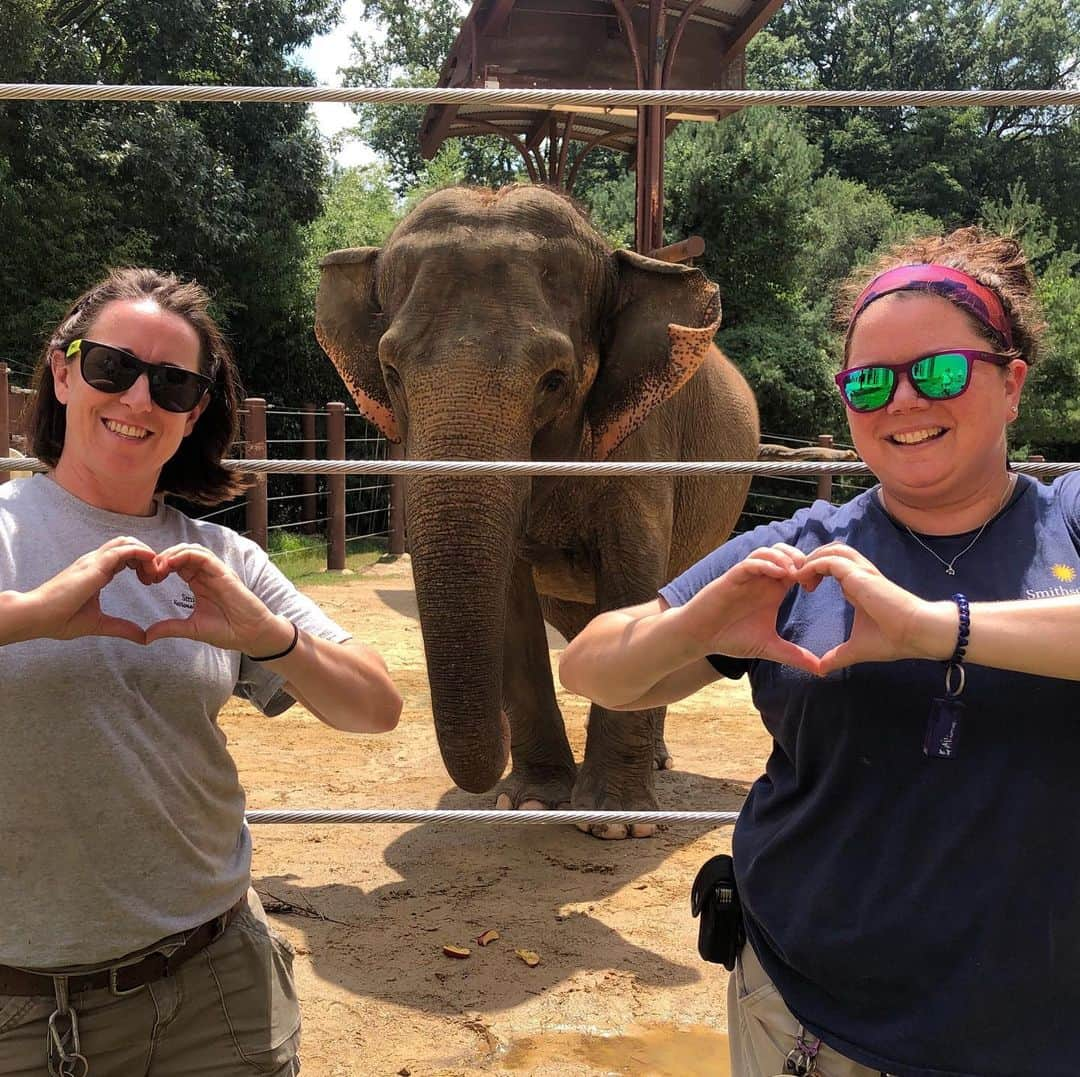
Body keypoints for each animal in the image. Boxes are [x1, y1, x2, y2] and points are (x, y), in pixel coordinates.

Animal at [315, 186, 760, 842]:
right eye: (391, 373)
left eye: (554, 380)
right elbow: (512, 597)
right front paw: (531, 803)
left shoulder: (643, 438)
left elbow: (634, 575)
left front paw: (616, 825)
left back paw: (654, 768)